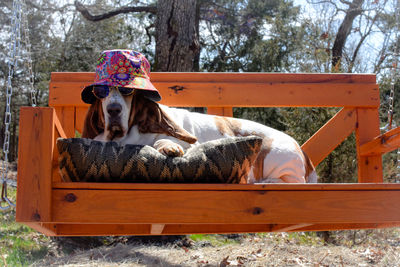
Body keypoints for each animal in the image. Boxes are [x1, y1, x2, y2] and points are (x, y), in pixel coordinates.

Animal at [81, 49, 318, 184]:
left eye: (127, 92)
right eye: (100, 93)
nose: (113, 109)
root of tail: (304, 153)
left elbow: (163, 141)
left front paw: (169, 147)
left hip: (277, 157)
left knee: (290, 182)